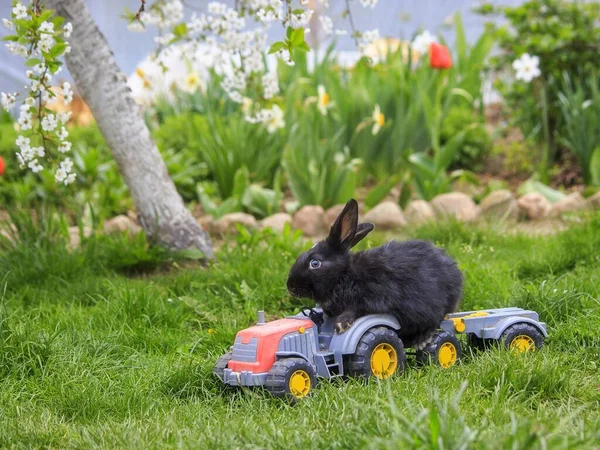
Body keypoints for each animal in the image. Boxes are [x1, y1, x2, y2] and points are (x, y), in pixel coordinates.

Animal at [286, 199, 464, 350]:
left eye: (315, 263)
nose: (290, 286)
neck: (345, 275)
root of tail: (455, 273)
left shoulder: (373, 297)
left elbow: (357, 309)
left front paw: (342, 324)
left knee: (435, 320)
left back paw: (421, 340)